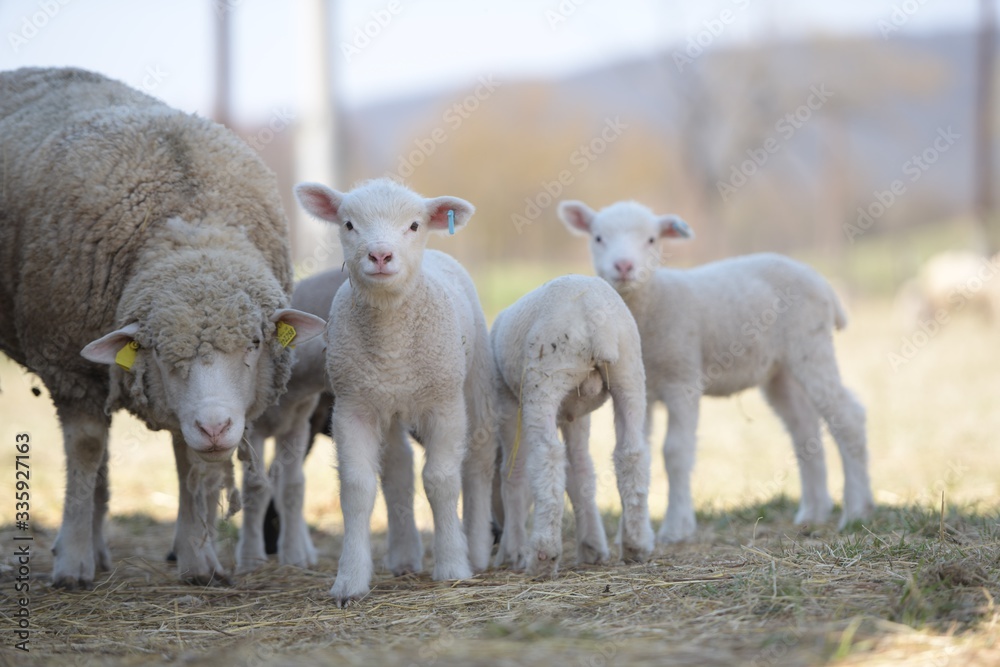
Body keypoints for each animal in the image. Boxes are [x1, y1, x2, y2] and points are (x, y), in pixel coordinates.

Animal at [0, 67, 326, 589]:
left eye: (256, 342)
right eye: (160, 352)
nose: (215, 426)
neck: (192, 226)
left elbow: (189, 463)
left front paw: (199, 560)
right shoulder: (69, 367)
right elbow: (86, 452)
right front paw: (71, 564)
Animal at [237, 268, 348, 573]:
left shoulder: (298, 426)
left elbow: (293, 488)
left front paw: (294, 557)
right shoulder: (252, 430)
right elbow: (255, 488)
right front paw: (250, 558)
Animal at [295, 178, 497, 606]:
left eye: (414, 225)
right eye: (349, 224)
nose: (380, 255)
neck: (391, 343)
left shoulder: (443, 404)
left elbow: (441, 480)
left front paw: (452, 566)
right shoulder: (353, 406)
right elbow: (357, 488)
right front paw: (349, 581)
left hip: (474, 383)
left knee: (478, 462)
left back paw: (476, 551)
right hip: (387, 405)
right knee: (398, 470)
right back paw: (404, 556)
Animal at [491, 275, 654, 577]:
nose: (495, 532)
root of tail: (593, 312)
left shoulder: (507, 402)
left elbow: (513, 473)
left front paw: (512, 551)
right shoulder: (576, 416)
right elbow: (580, 473)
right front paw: (592, 546)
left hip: (545, 377)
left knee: (547, 456)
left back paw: (543, 555)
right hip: (630, 372)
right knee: (631, 453)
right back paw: (636, 545)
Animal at [559, 199, 874, 542]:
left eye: (652, 239)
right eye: (598, 237)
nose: (624, 266)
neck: (652, 302)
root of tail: (823, 284)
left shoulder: (682, 379)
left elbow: (676, 452)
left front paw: (676, 528)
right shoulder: (642, 390)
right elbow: (638, 450)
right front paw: (630, 534)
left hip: (810, 345)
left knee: (847, 416)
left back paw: (857, 511)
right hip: (780, 371)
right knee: (804, 428)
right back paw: (814, 512)